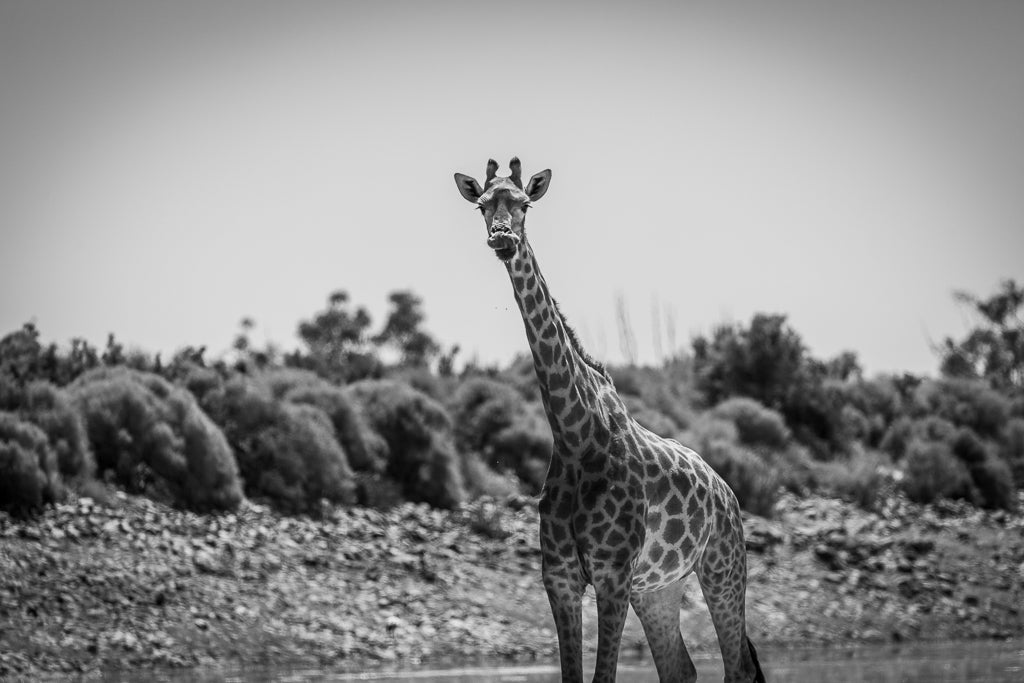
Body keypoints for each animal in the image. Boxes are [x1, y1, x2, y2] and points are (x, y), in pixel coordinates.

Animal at [452, 158, 765, 683]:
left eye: (525, 204)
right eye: (481, 206)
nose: (502, 239)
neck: (573, 433)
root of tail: (727, 492)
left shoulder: (612, 573)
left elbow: (603, 677)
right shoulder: (560, 577)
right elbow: (573, 676)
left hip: (723, 566)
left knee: (738, 666)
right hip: (659, 587)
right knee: (681, 669)